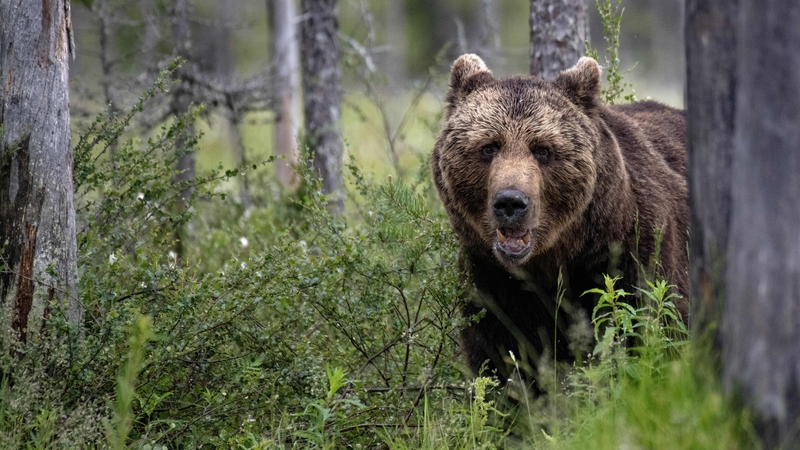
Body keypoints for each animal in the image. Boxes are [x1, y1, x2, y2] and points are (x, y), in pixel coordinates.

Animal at [431, 54, 688, 385]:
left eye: (543, 149)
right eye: (488, 147)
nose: (510, 202)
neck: (553, 259)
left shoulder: (631, 255)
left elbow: (643, 332)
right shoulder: (492, 280)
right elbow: (501, 358)